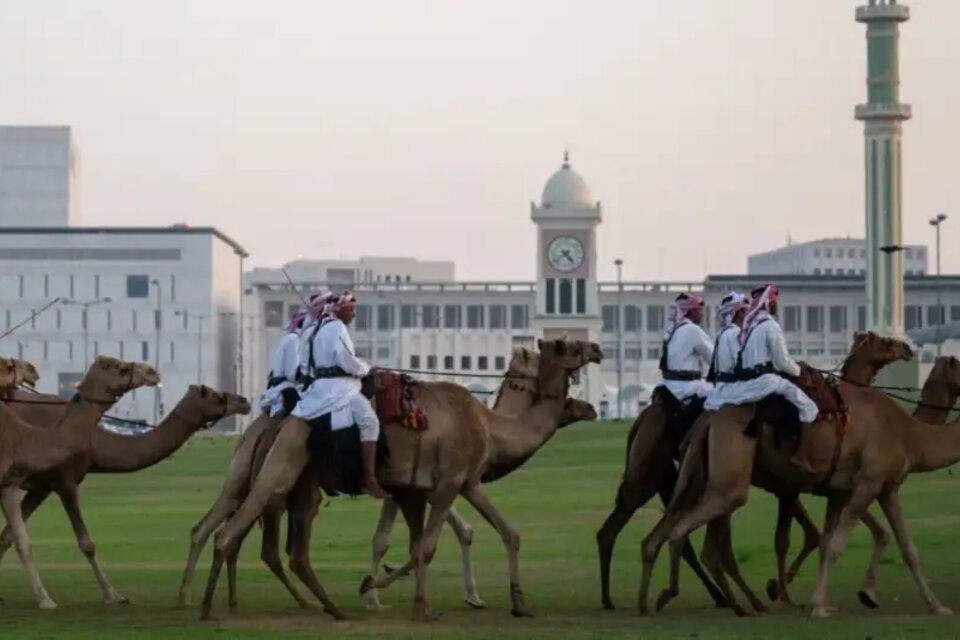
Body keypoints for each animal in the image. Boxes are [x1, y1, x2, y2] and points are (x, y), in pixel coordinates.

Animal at [0, 358, 159, 608]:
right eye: (121, 368)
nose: (153, 372)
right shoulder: (34, 483)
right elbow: (26, 543)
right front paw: (47, 600)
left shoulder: (15, 484)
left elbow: (14, 539)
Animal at [0, 384, 251, 604]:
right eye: (215, 395)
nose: (244, 401)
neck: (95, 442)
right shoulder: (65, 480)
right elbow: (86, 543)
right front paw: (112, 595)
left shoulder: (42, 486)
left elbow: (7, 537)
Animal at [198, 340, 596, 620]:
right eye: (567, 345)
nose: (597, 348)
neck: (489, 426)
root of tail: (279, 418)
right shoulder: (448, 484)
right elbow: (423, 546)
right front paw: (407, 600)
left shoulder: (434, 487)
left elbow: (496, 534)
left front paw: (516, 603)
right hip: (280, 469)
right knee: (232, 532)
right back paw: (208, 608)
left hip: (294, 482)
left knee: (280, 545)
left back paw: (329, 608)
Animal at [596, 332, 912, 612]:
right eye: (885, 342)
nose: (907, 347)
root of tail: (642, 420)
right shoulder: (793, 486)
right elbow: (792, 538)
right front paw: (781, 591)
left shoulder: (792, 488)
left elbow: (805, 534)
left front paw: (780, 588)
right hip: (654, 473)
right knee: (675, 535)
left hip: (671, 478)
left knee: (667, 534)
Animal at [636, 350, 960, 620]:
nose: (909, 351)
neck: (909, 434)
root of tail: (709, 419)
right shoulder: (867, 484)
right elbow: (836, 545)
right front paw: (821, 606)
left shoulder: (873, 488)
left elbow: (903, 547)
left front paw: (935, 606)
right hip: (727, 483)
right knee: (689, 533)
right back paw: (699, 598)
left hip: (698, 474)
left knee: (667, 533)